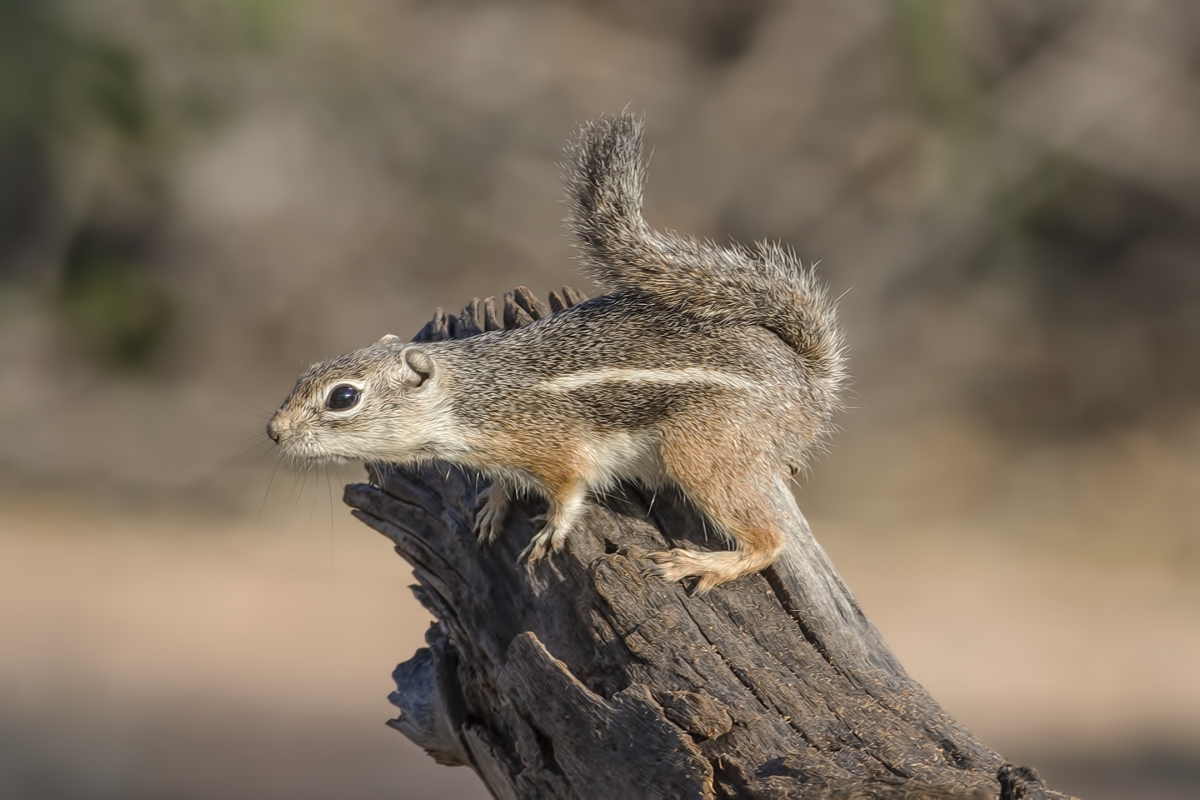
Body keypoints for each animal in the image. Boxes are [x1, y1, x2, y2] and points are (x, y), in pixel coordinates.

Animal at [267, 112, 844, 592]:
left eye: (343, 397)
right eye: (305, 374)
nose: (274, 432)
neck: (468, 395)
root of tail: (808, 381)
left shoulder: (556, 446)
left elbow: (569, 489)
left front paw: (550, 530)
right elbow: (507, 483)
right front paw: (494, 505)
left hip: (704, 450)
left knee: (771, 541)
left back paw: (706, 563)